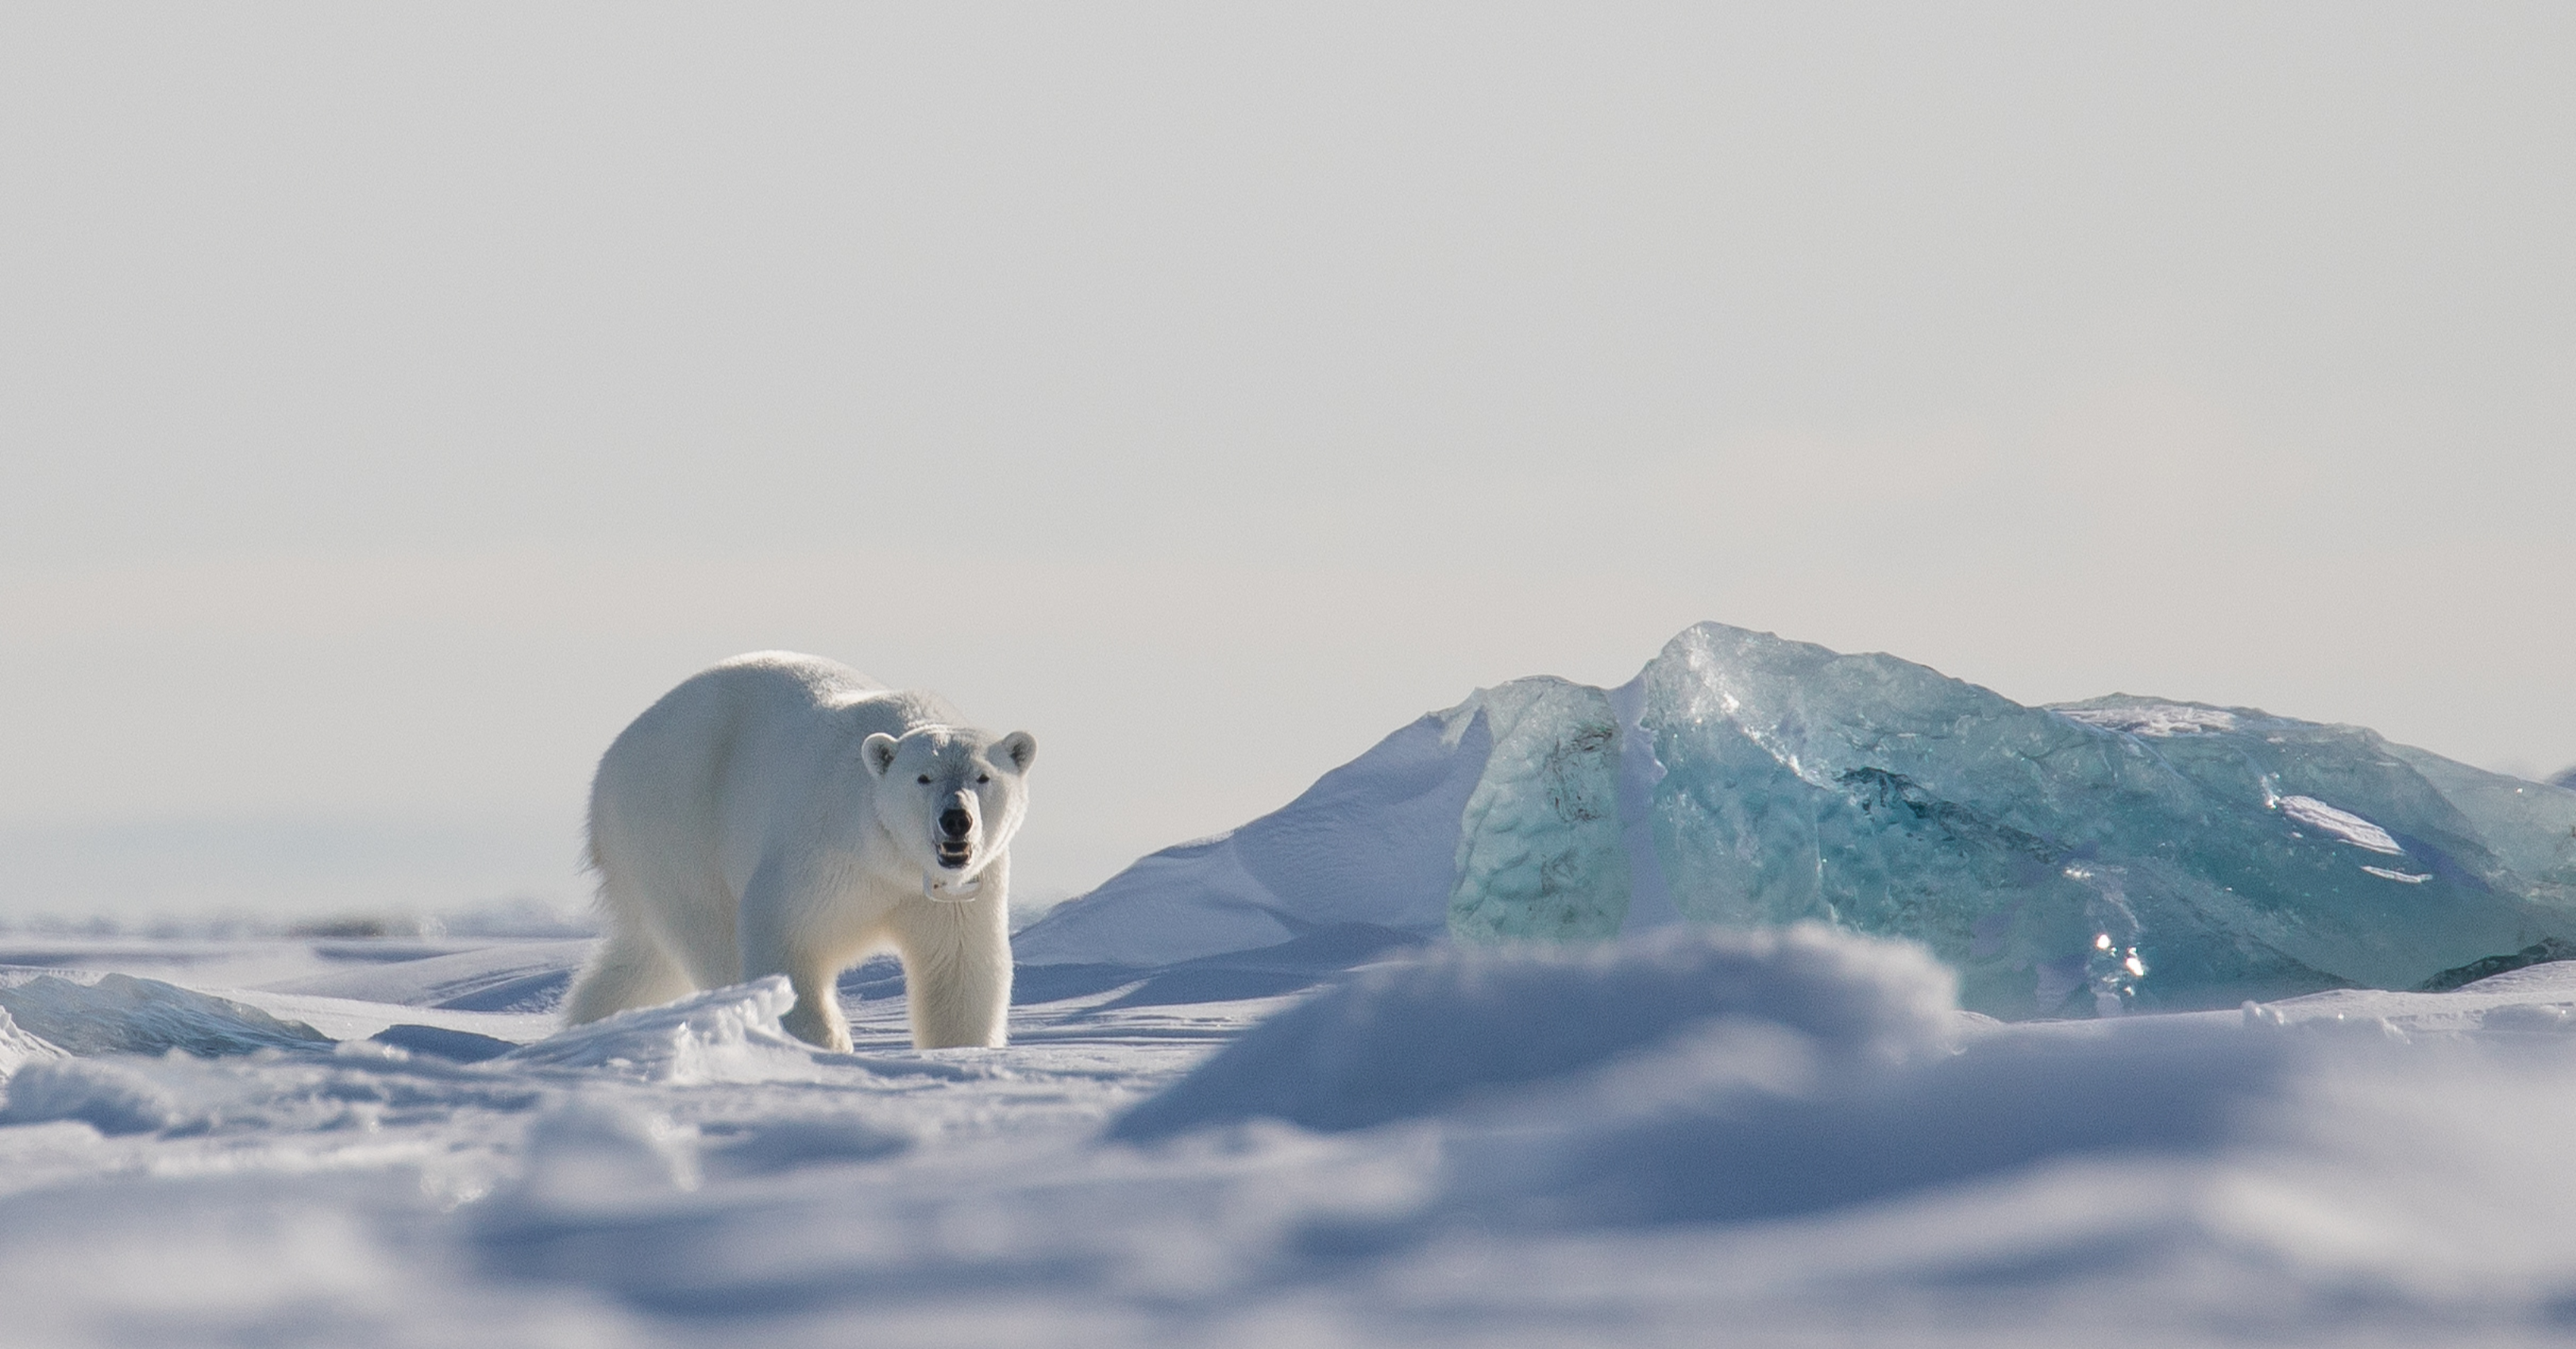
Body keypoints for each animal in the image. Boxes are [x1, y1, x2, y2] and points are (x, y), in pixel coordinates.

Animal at [564, 653, 1035, 1055]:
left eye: (983, 777)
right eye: (923, 777)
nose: (956, 819)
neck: (891, 856)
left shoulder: (956, 891)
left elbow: (959, 969)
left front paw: (962, 1050)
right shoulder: (824, 854)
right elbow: (783, 934)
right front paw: (826, 1042)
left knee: (644, 959)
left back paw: (589, 1024)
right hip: (675, 824)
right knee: (710, 933)